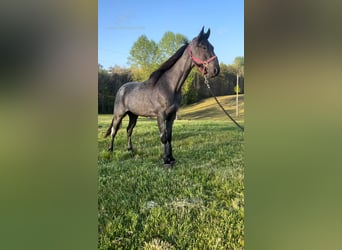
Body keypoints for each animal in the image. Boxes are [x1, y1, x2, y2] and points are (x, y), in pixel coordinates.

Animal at [104, 27, 220, 166]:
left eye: (212, 47)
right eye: (203, 47)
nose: (216, 70)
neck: (169, 86)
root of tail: (121, 89)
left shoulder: (171, 116)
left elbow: (169, 136)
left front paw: (171, 158)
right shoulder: (161, 115)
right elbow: (163, 137)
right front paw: (165, 160)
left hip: (133, 115)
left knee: (129, 130)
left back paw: (130, 150)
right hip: (119, 115)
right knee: (114, 131)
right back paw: (110, 151)